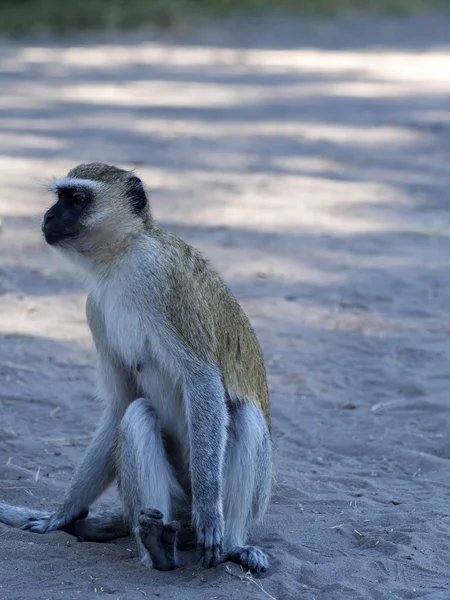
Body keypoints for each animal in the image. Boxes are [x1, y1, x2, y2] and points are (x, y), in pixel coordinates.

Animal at [0, 163, 270, 572]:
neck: (121, 259)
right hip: (173, 501)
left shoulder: (162, 280)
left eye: (76, 199)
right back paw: (157, 546)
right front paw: (61, 514)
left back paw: (232, 544)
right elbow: (120, 404)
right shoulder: (94, 307)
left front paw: (211, 512)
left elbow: (202, 378)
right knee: (137, 413)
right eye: (59, 198)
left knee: (244, 415)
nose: (48, 217)